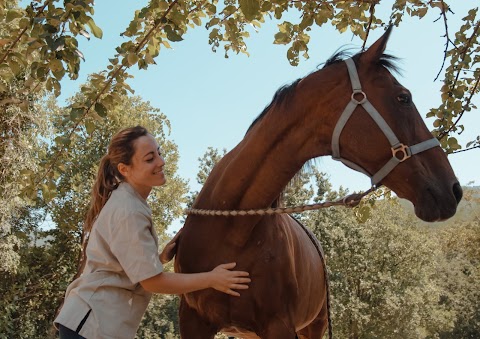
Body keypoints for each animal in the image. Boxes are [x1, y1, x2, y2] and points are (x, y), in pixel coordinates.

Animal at [173, 28, 462, 339]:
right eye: (403, 98)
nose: (454, 190)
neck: (233, 226)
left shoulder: (280, 326)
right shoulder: (192, 321)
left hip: (315, 324)